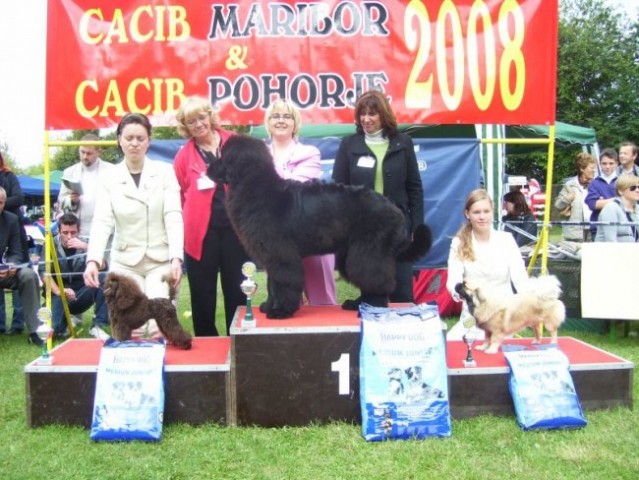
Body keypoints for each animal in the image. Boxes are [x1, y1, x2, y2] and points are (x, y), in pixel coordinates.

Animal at [210, 135, 436, 318]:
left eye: (222, 155)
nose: (209, 168)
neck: (254, 185)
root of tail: (394, 208)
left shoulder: (280, 253)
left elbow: (282, 281)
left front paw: (280, 311)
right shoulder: (272, 254)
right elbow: (272, 283)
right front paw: (268, 306)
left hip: (368, 252)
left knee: (377, 280)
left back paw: (371, 307)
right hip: (353, 254)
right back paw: (357, 304)